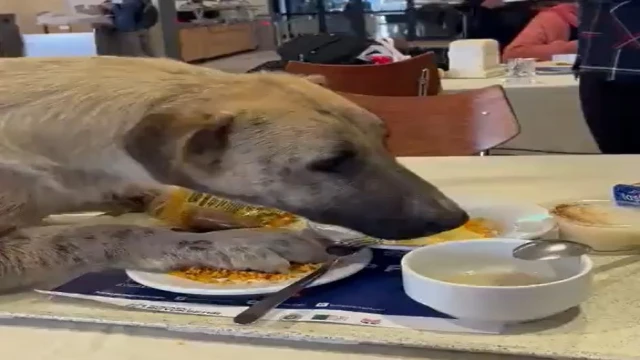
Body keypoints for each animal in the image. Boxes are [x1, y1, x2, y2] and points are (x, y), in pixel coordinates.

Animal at [0, 56, 468, 292]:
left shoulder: (90, 182)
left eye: (385, 137)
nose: (456, 218)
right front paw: (240, 242)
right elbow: (103, 232)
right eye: (332, 162)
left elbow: (141, 197)